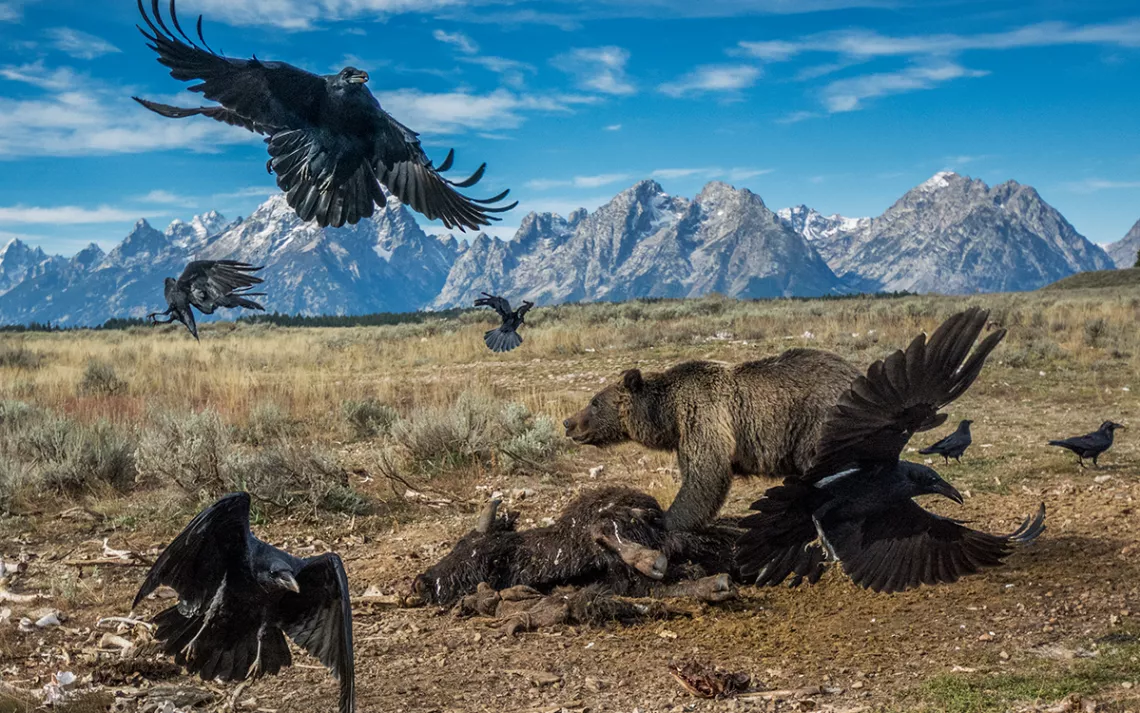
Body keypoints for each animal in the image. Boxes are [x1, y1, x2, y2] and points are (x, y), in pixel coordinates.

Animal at [560, 346, 857, 531]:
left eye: (594, 403)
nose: (568, 423)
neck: (667, 414)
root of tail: (854, 372)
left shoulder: (701, 416)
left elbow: (705, 474)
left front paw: (661, 518)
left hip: (818, 421)